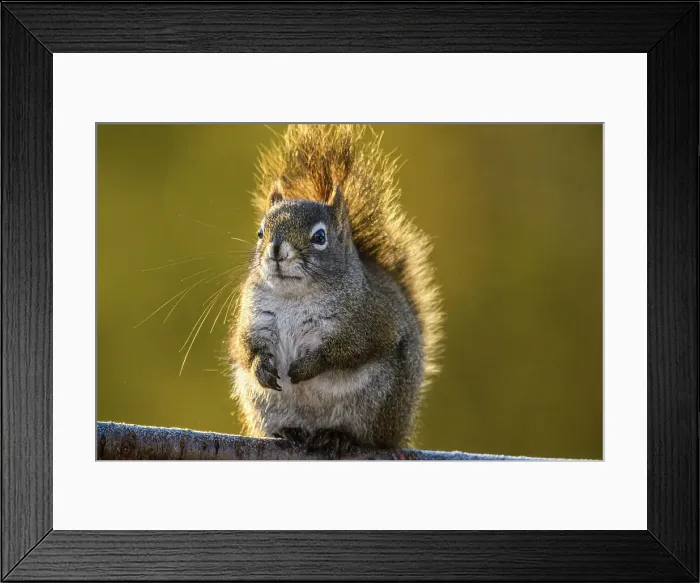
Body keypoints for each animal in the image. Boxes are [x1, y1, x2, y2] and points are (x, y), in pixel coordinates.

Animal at [228, 124, 443, 456]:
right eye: (261, 232)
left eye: (319, 237)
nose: (276, 250)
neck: (295, 296)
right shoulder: (253, 319)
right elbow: (244, 346)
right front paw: (260, 366)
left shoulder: (369, 321)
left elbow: (347, 350)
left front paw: (308, 366)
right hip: (263, 405)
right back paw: (288, 431)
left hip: (375, 405)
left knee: (365, 435)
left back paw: (337, 436)